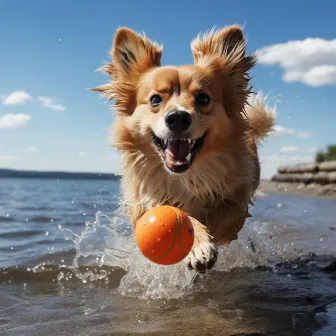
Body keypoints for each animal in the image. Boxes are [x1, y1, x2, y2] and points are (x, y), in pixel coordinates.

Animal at [92, 25, 276, 272]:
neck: (186, 178)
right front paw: (198, 241)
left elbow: (216, 216)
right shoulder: (143, 205)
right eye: (155, 99)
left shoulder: (237, 203)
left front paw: (200, 240)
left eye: (203, 98)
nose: (178, 118)